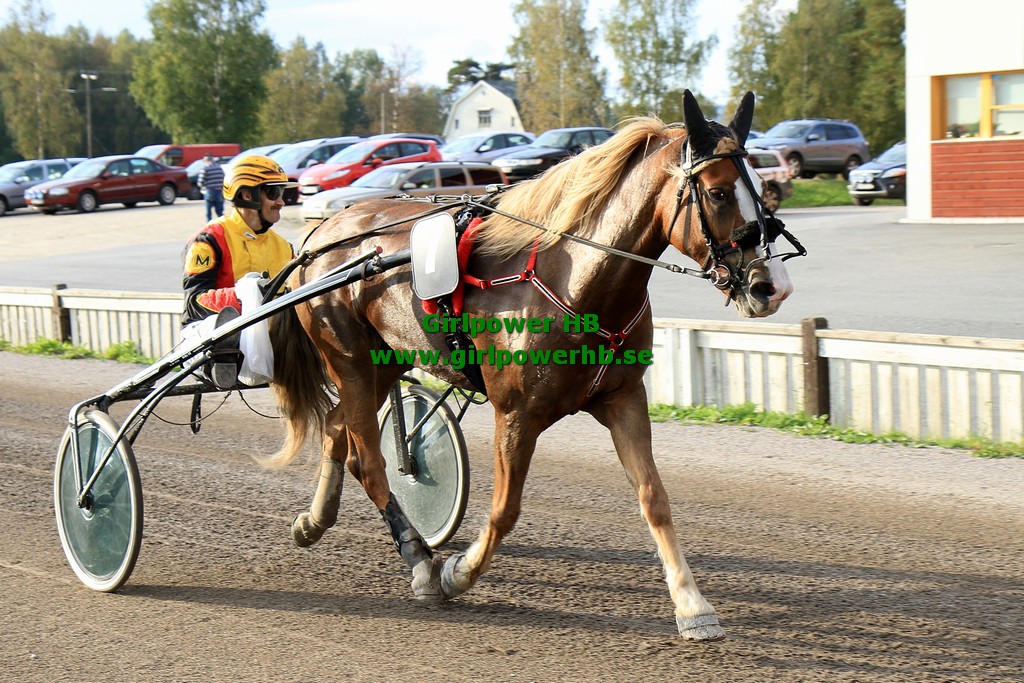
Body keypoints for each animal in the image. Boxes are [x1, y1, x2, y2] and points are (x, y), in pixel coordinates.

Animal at [265, 90, 797, 641]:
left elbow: (654, 497)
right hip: (348, 357)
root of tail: (321, 232)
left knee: (336, 428)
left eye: (762, 188)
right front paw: (456, 573)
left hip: (386, 358)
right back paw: (419, 561)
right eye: (718, 192)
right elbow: (504, 510)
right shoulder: (516, 414)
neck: (574, 281)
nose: (771, 286)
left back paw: (314, 521)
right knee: (368, 460)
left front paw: (692, 604)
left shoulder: (624, 397)